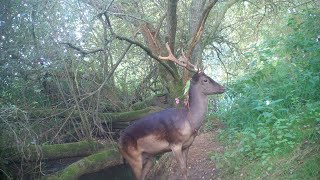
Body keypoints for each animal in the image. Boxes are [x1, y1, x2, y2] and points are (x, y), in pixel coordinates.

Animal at [118, 43, 225, 179]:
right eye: (205, 80)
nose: (223, 87)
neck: (189, 120)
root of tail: (118, 142)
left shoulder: (187, 145)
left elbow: (186, 168)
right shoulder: (175, 144)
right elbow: (182, 169)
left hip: (150, 156)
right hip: (133, 158)